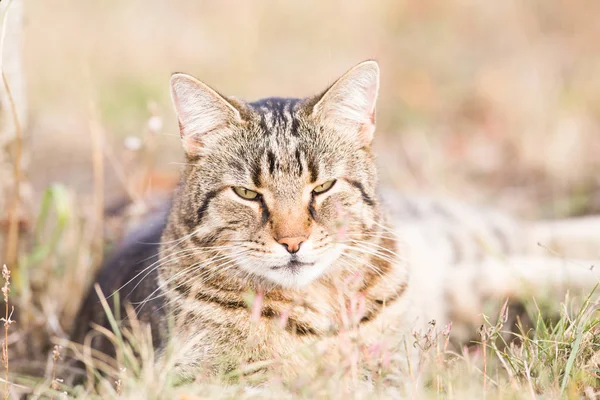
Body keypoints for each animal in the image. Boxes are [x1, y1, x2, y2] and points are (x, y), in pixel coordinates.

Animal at [75, 60, 600, 382]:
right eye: (248, 193)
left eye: (322, 187)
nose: (292, 242)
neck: (320, 305)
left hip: (464, 235)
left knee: (532, 234)